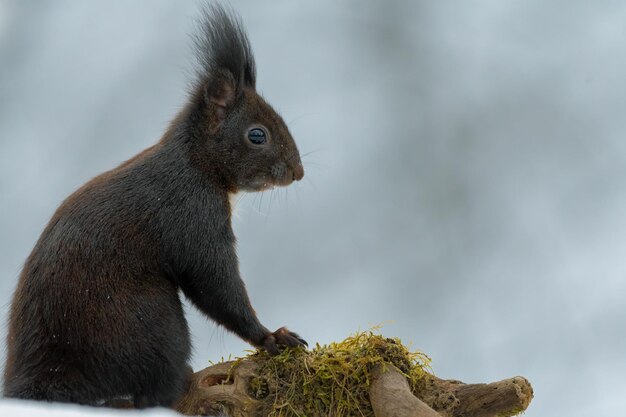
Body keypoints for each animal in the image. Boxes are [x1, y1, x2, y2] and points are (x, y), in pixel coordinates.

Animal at [3, 3, 306, 406]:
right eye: (257, 135)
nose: (298, 172)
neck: (196, 164)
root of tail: (42, 383)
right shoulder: (193, 216)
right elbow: (216, 285)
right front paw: (271, 337)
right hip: (152, 320)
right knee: (155, 389)